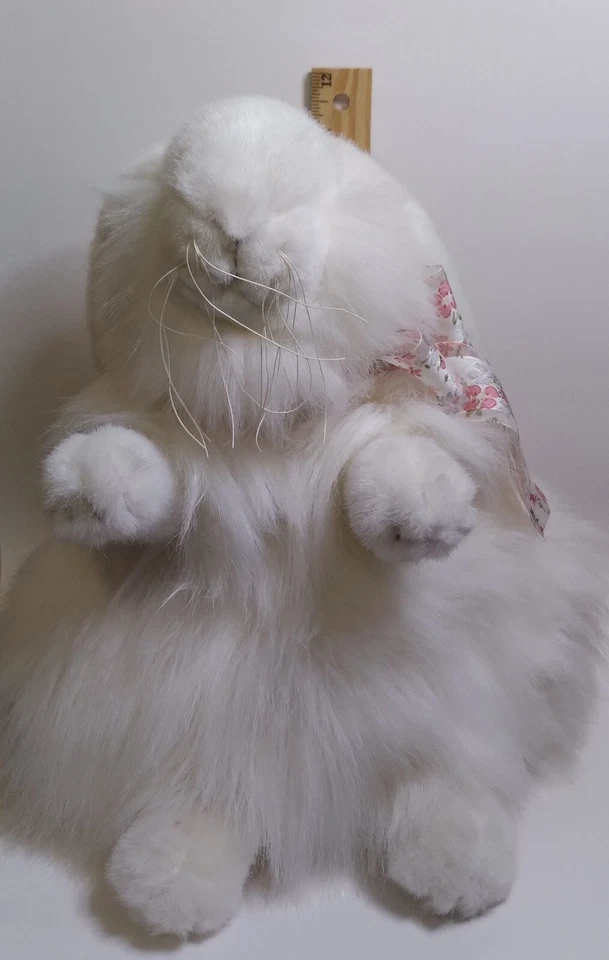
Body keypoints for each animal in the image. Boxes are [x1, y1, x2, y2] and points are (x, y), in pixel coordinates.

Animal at [0, 96, 606, 938]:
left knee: (448, 765)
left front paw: (426, 515)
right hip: (193, 729)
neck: (262, 391)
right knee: (206, 787)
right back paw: (170, 881)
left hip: (456, 700)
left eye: (296, 196)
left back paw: (458, 865)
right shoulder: (175, 463)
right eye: (180, 197)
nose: (230, 229)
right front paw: (87, 488)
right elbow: (141, 475)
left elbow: (384, 473)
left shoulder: (382, 431)